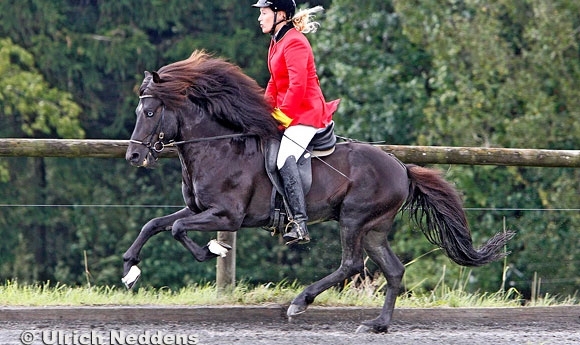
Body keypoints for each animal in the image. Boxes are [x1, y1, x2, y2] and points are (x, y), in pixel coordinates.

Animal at [122, 49, 512, 332]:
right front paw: (130, 269)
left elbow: (176, 228)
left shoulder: (227, 216)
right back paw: (377, 325)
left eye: (151, 112)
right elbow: (155, 224)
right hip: (375, 228)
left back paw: (300, 302)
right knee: (394, 271)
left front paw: (212, 250)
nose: (134, 156)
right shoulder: (198, 209)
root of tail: (401, 167)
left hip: (353, 219)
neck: (218, 147)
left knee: (351, 264)